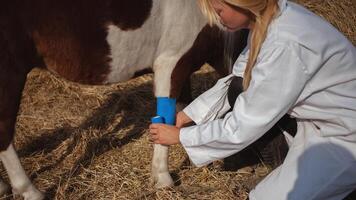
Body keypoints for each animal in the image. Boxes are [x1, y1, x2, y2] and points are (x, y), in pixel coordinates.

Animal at [0, 0, 248, 198]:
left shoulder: (183, 70)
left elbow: (184, 108)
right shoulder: (170, 64)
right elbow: (167, 116)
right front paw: (162, 178)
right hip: (10, 73)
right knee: (4, 134)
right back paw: (29, 191)